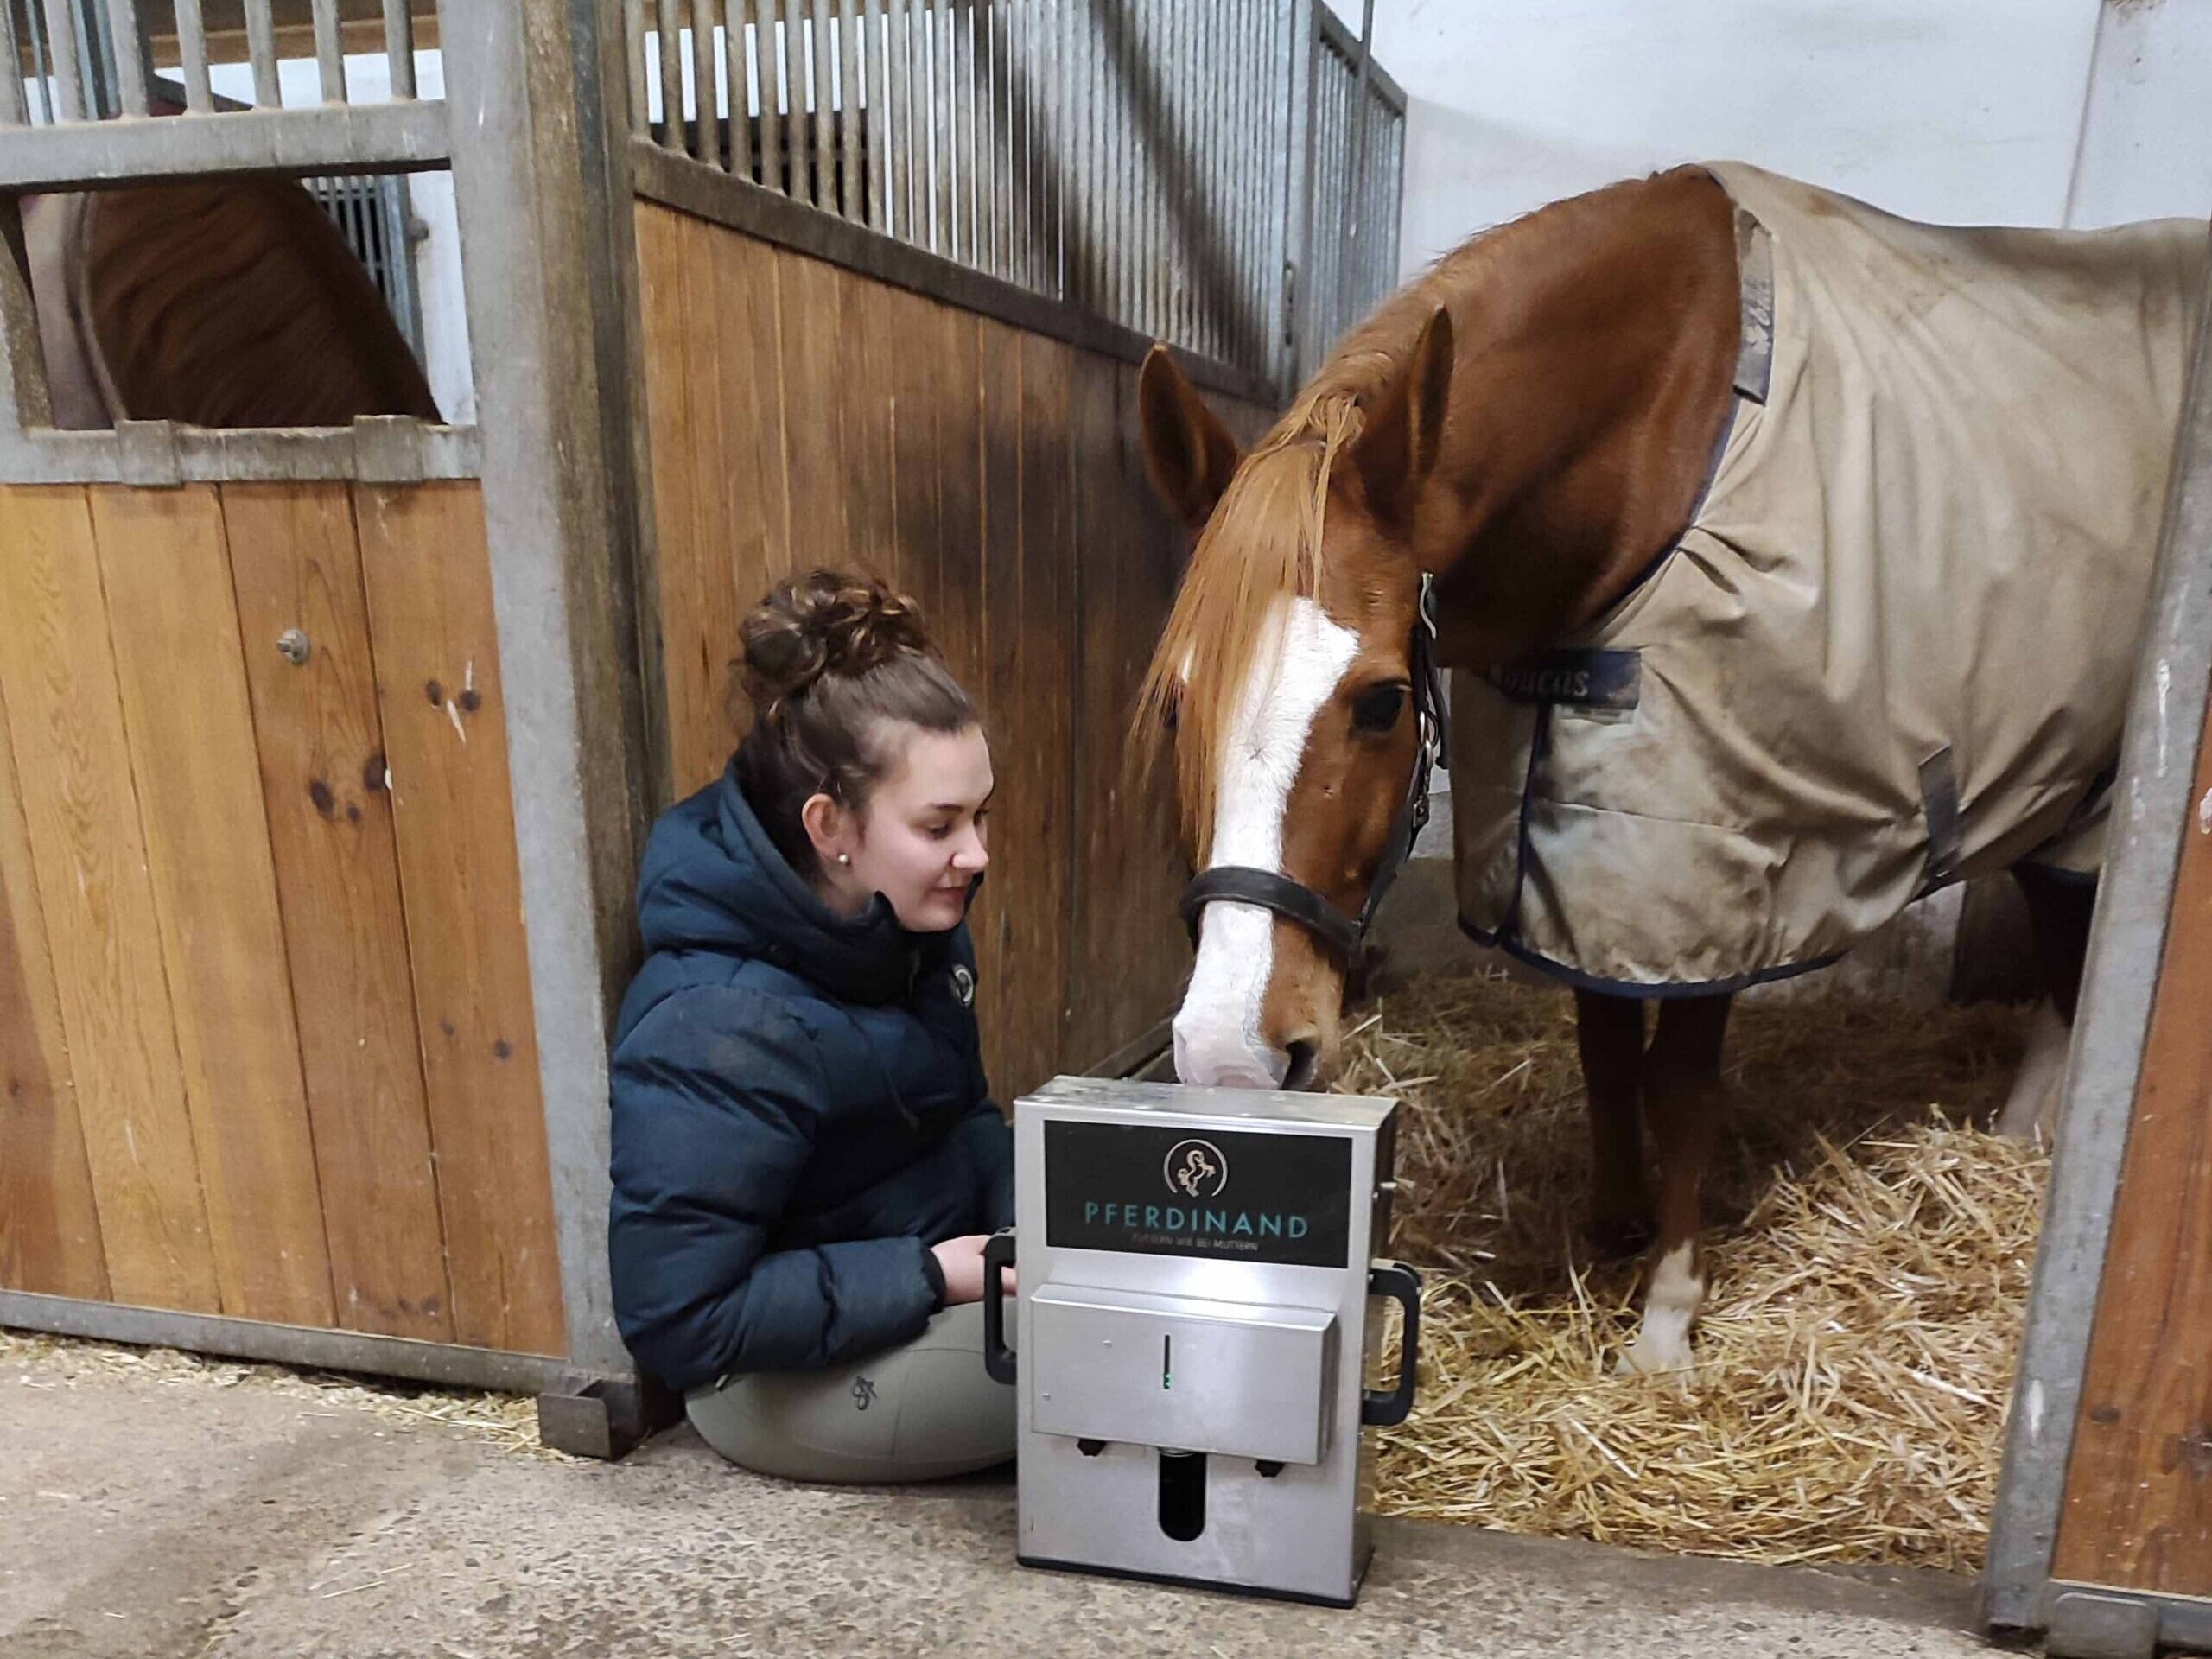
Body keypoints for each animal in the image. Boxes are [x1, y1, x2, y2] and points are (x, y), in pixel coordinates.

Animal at [1132, 162, 2202, 1380]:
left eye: (1382, 700)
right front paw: (1613, 1225)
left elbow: (1680, 1088)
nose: (1227, 1056)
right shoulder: (1579, 850)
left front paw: (1666, 1316)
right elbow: (1604, 1050)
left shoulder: (1722, 869)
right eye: (1177, 702)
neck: (1662, 434)